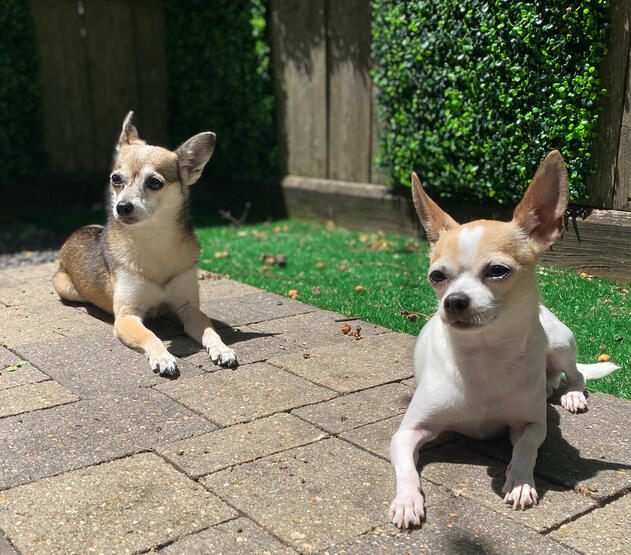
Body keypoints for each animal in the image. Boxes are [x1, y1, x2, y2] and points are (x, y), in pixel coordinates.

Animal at [390, 152, 624, 528]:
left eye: (498, 271)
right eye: (436, 276)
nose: (453, 301)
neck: (485, 355)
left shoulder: (532, 425)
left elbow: (526, 448)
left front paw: (520, 480)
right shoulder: (407, 433)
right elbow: (407, 470)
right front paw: (407, 501)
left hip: (559, 342)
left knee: (576, 374)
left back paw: (571, 394)